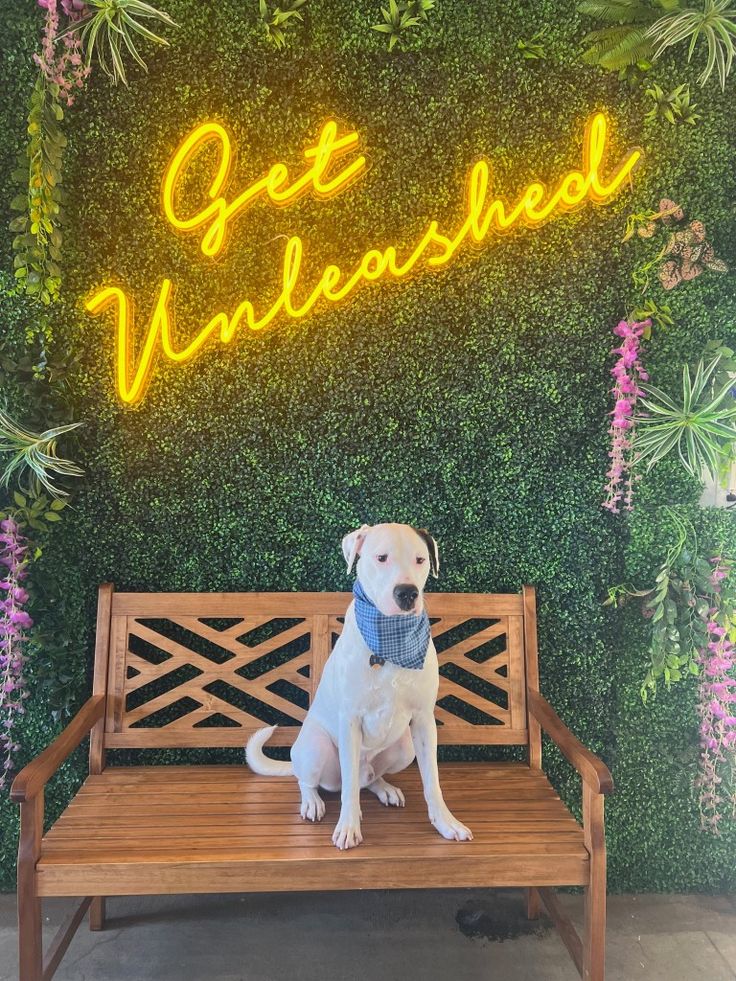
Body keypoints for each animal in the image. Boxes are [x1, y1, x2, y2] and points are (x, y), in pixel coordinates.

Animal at [246, 520, 472, 848]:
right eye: (381, 558)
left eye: (420, 560)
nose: (407, 593)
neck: (390, 638)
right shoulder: (350, 720)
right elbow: (350, 789)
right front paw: (348, 827)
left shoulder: (423, 720)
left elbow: (432, 782)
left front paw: (445, 822)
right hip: (315, 747)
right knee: (313, 781)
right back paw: (312, 801)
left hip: (405, 746)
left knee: (368, 780)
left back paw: (384, 787)